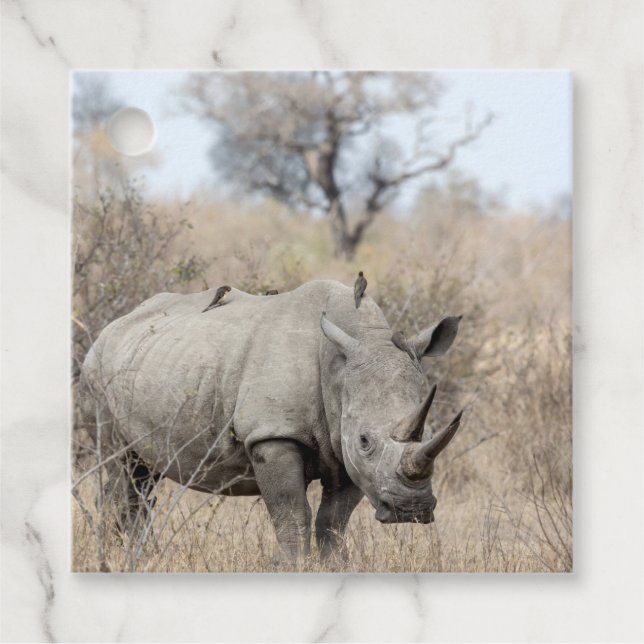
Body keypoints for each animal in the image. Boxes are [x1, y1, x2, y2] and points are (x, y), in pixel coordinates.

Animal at [80, 280, 463, 562]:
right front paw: (296, 565)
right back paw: (115, 559)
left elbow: (333, 521)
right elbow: (292, 514)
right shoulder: (273, 434)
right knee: (121, 468)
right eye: (365, 441)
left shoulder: (344, 449)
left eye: (429, 432)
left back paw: (137, 559)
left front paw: (334, 565)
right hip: (97, 373)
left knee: (143, 477)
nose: (410, 510)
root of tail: (112, 327)